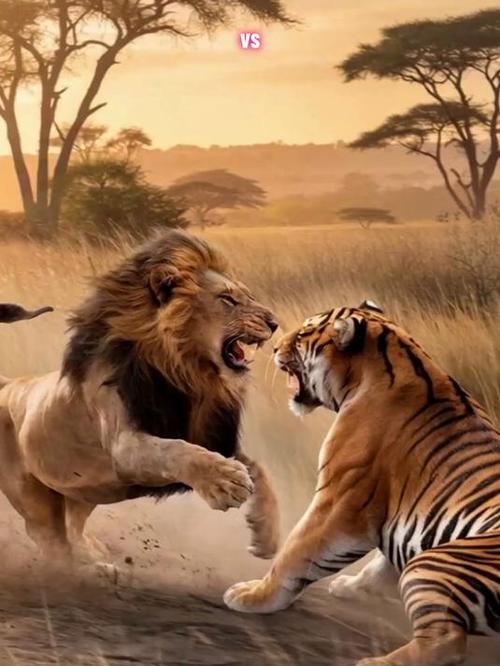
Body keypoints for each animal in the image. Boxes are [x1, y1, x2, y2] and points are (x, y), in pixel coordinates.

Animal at [224, 301, 500, 666]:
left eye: (303, 333)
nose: (274, 346)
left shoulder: (338, 502)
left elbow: (293, 554)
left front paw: (252, 596)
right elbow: (380, 564)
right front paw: (349, 586)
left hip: (434, 564)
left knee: (448, 642)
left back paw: (375, 662)